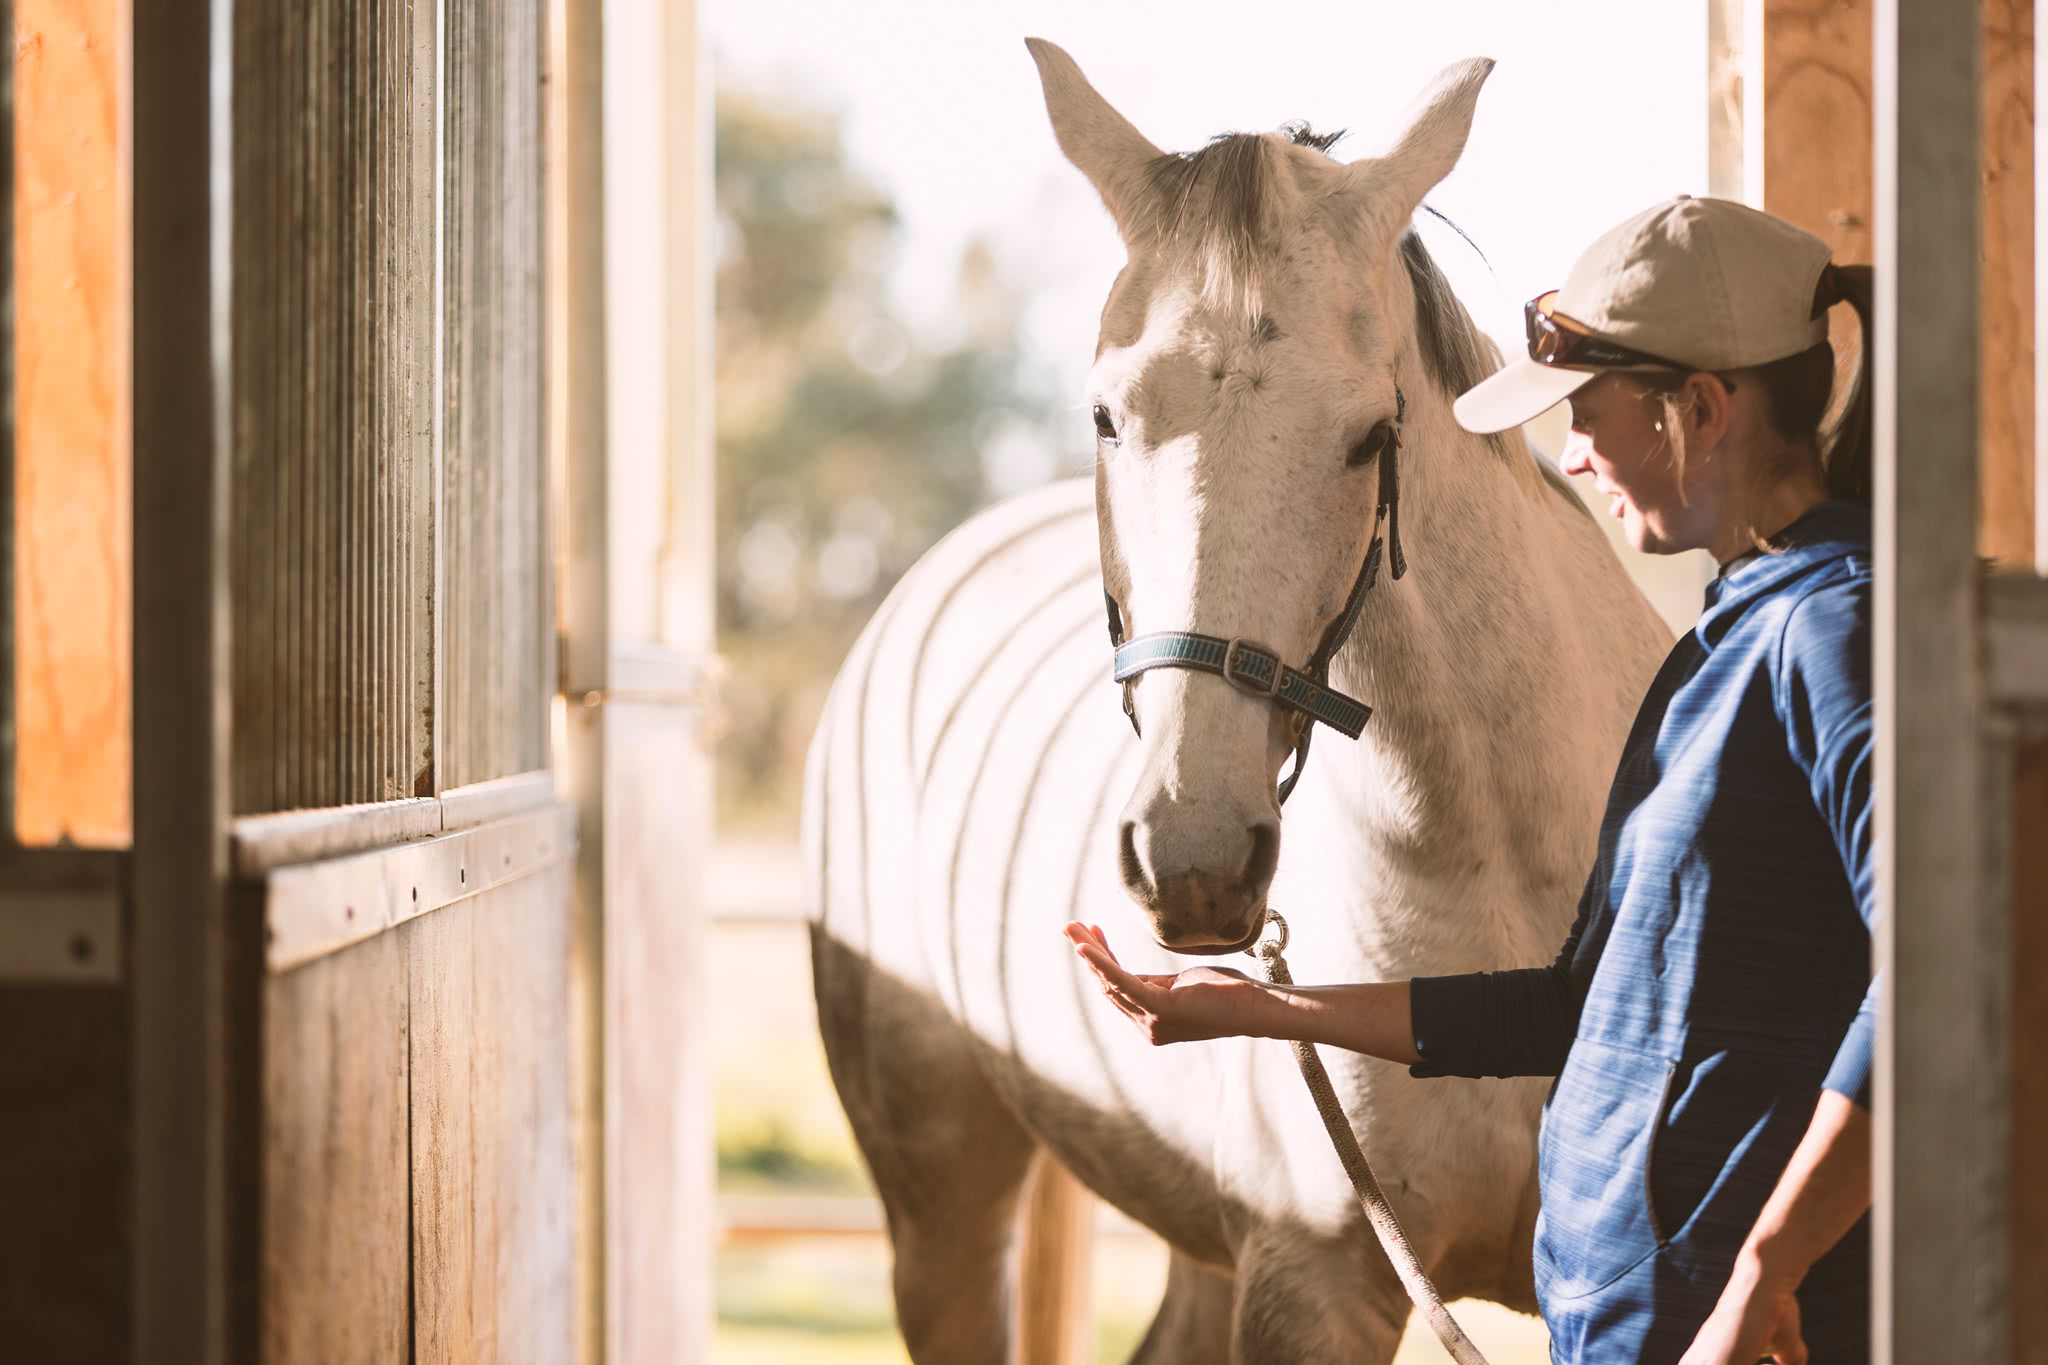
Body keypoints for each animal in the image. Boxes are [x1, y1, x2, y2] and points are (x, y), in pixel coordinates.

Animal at [798, 42, 1662, 1365]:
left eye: (1370, 433)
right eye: (1105, 415)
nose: (1193, 860)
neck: (1507, 882)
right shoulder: (1312, 1282)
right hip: (939, 1207)